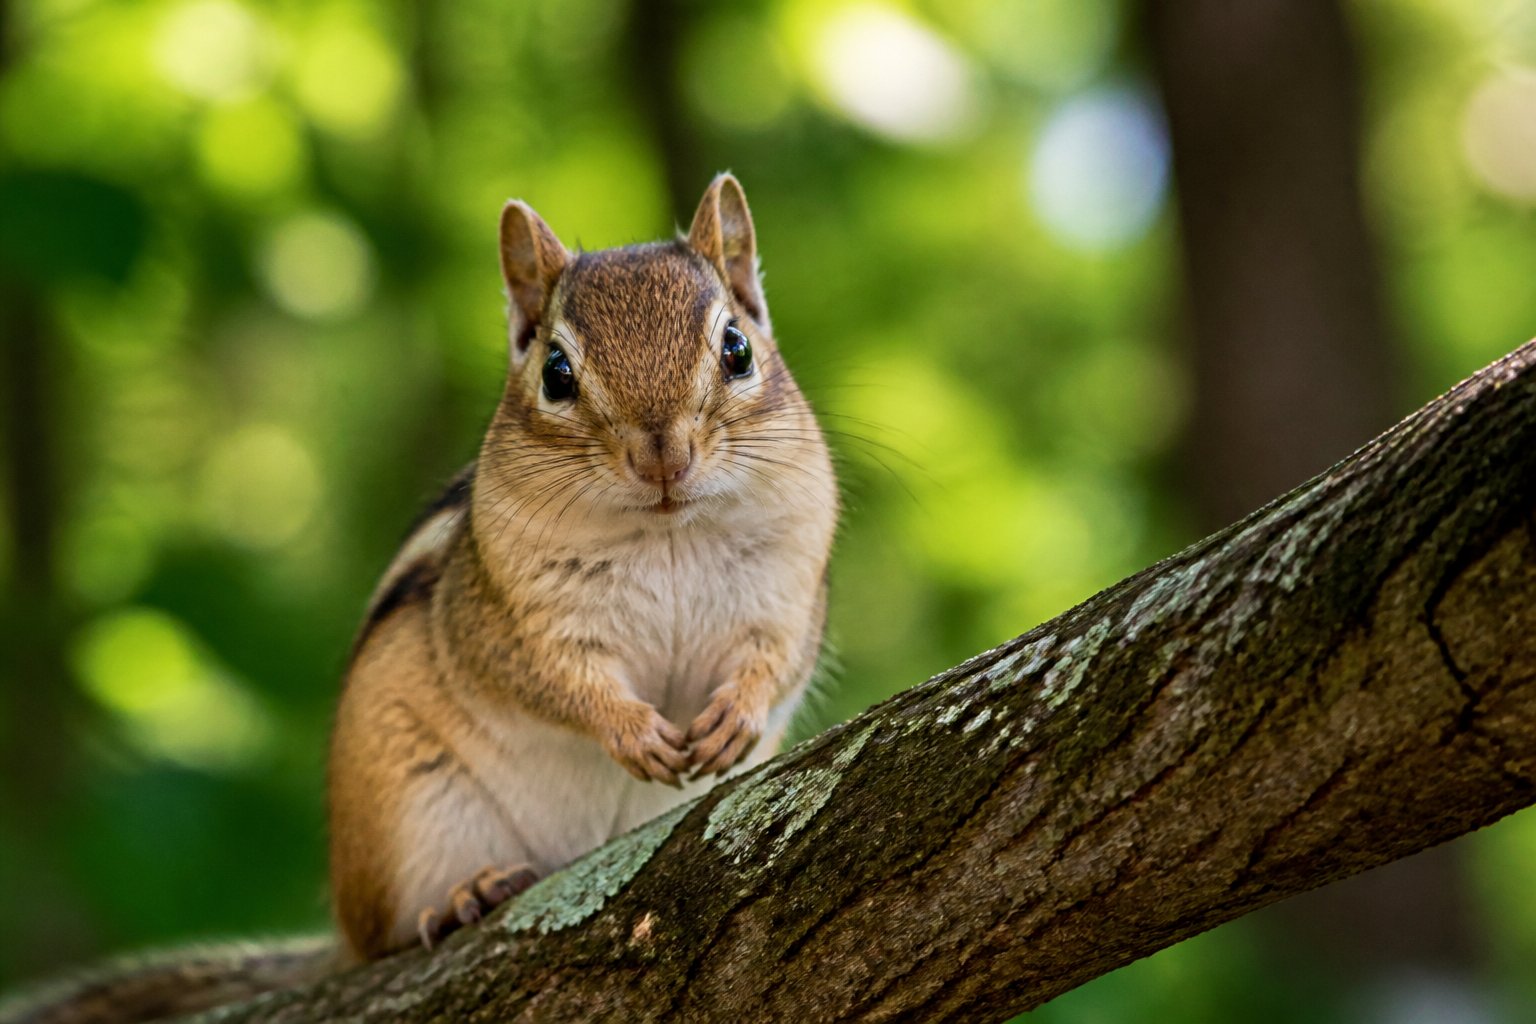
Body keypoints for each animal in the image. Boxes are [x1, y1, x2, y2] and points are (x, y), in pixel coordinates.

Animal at [0, 173, 838, 1023]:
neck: (666, 532)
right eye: (556, 374)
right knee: (390, 938)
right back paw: (470, 896)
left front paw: (736, 716)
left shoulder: (788, 597)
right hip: (407, 819)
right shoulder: (506, 620)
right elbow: (554, 679)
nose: (660, 455)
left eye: (736, 349)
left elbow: (775, 662)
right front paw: (628, 729)